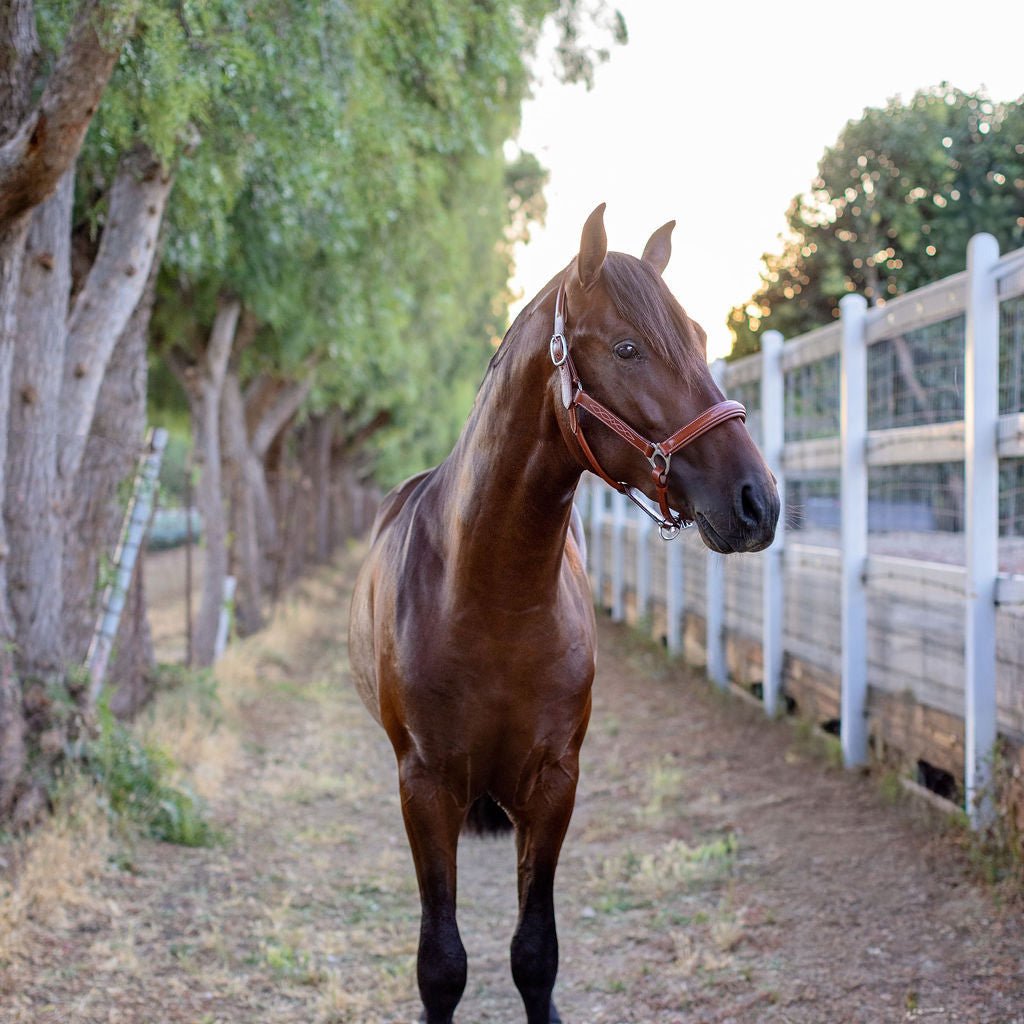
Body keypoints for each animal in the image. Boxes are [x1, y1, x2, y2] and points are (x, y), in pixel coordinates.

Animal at [348, 204, 779, 1023]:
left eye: (702, 336)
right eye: (627, 347)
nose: (758, 501)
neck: (492, 600)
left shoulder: (553, 783)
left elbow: (534, 955)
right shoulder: (425, 786)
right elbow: (441, 965)